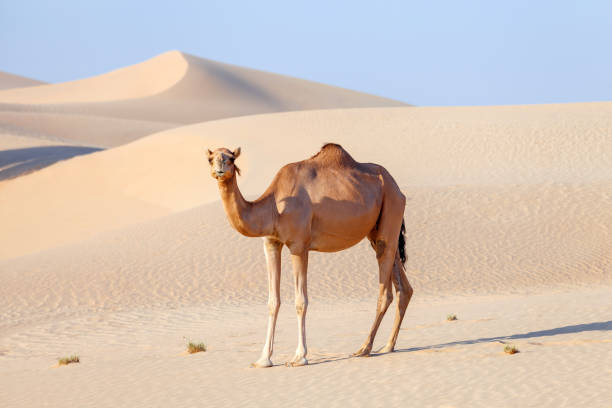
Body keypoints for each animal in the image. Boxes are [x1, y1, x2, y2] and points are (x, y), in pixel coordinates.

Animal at [208, 143, 414, 366]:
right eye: (210, 158)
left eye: (231, 159)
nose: (220, 170)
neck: (274, 208)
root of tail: (397, 188)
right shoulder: (271, 243)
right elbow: (273, 301)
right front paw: (263, 359)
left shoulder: (299, 246)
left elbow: (301, 301)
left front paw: (300, 357)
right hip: (378, 231)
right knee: (403, 285)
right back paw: (387, 346)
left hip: (391, 207)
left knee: (385, 290)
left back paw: (364, 348)